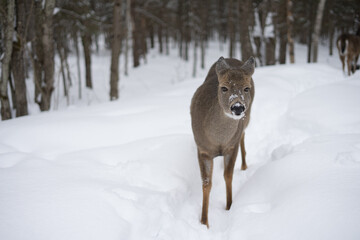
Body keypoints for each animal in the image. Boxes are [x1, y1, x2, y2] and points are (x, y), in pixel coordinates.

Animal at [190, 55, 255, 227]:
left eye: (246, 88)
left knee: (243, 135)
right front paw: (204, 222)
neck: (218, 140)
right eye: (224, 88)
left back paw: (244, 165)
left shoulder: (231, 147)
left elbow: (228, 175)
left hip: (247, 118)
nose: (237, 107)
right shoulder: (202, 149)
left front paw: (229, 206)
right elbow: (206, 183)